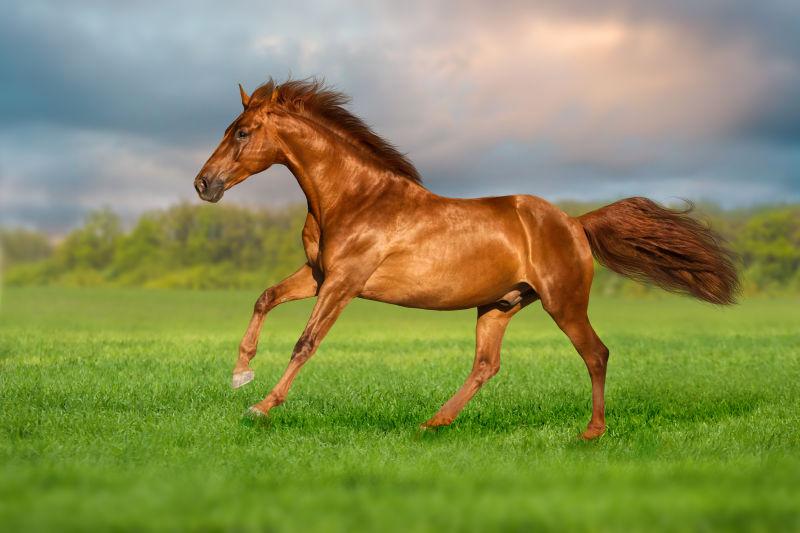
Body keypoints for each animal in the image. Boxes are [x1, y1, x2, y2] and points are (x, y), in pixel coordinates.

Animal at [192, 78, 736, 436]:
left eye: (241, 132)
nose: (203, 184)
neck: (354, 198)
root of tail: (575, 223)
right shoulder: (318, 274)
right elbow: (264, 298)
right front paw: (240, 375)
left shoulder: (344, 281)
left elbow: (305, 343)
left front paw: (260, 407)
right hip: (499, 305)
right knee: (486, 365)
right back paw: (433, 422)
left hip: (563, 303)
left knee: (595, 354)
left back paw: (591, 432)